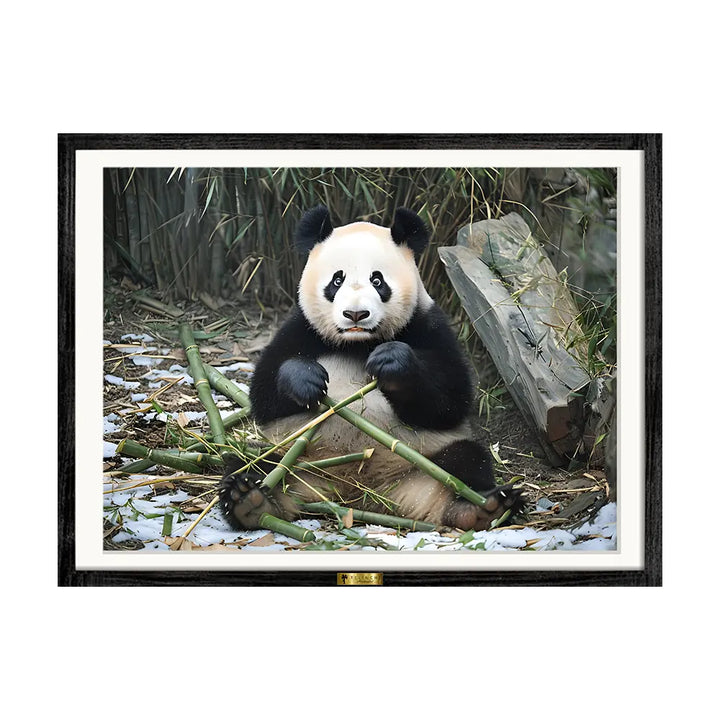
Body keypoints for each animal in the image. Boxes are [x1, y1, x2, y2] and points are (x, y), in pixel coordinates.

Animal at [219, 205, 523, 532]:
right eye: (336, 281)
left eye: (378, 281)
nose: (356, 314)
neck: (358, 344)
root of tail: (357, 493)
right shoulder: (300, 329)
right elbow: (264, 391)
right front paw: (305, 379)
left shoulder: (429, 326)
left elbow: (451, 399)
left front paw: (392, 363)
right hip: (294, 456)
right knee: (251, 462)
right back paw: (250, 500)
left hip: (425, 461)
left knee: (467, 460)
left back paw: (479, 508)